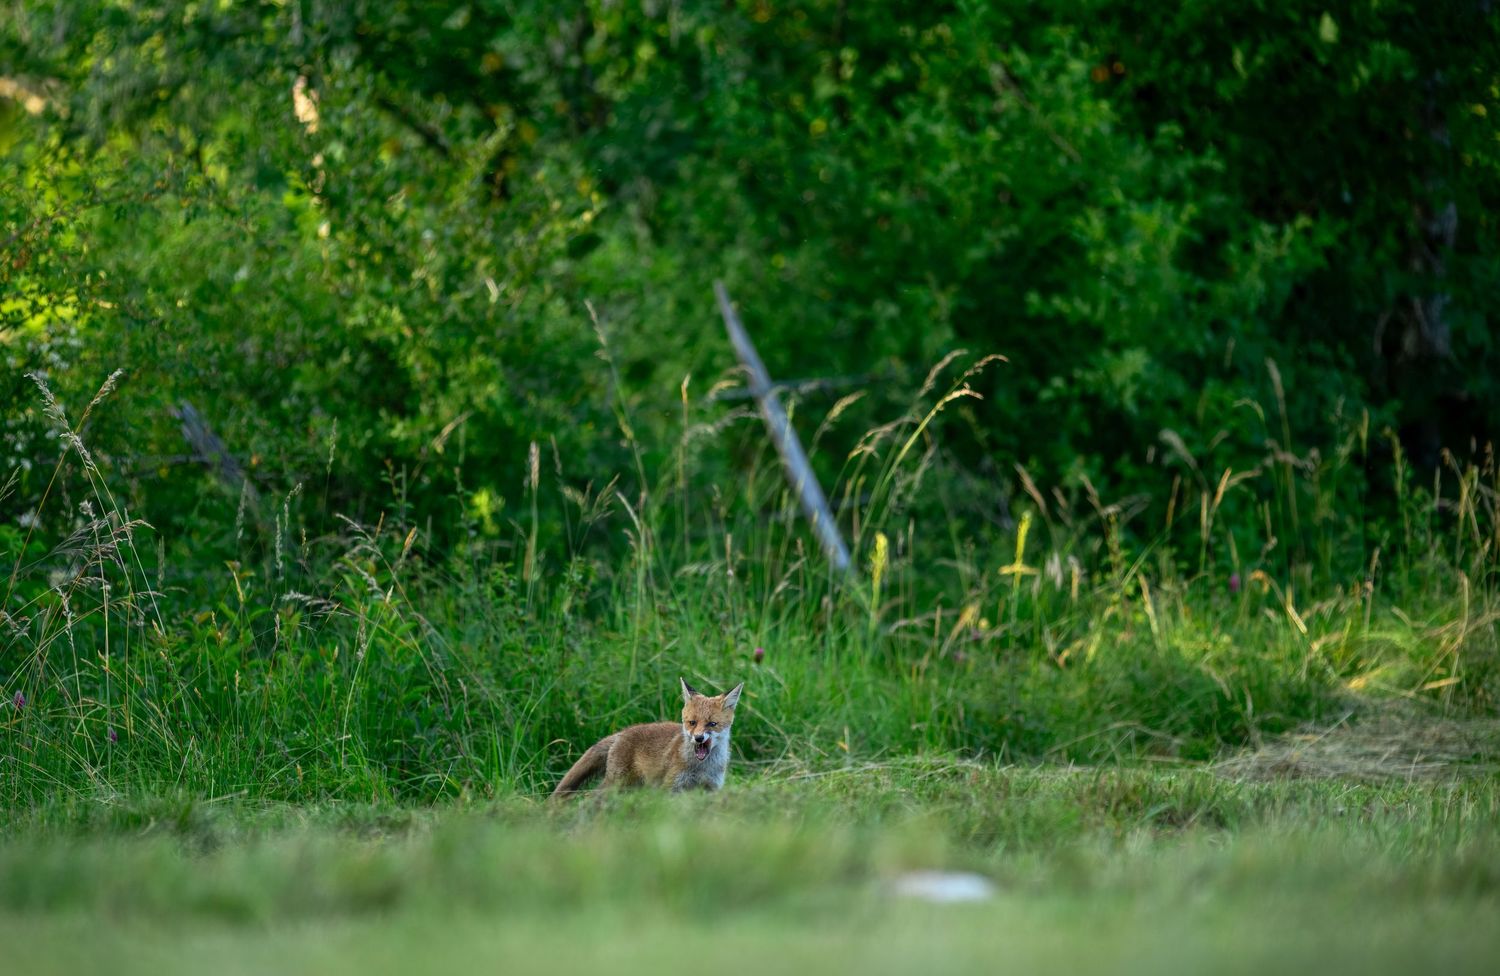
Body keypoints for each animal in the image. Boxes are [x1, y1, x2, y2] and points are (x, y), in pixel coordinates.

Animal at [550, 678, 744, 798]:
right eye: (692, 722)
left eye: (712, 724)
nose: (698, 738)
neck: (701, 767)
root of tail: (621, 733)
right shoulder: (671, 787)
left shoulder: (712, 788)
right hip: (617, 785)